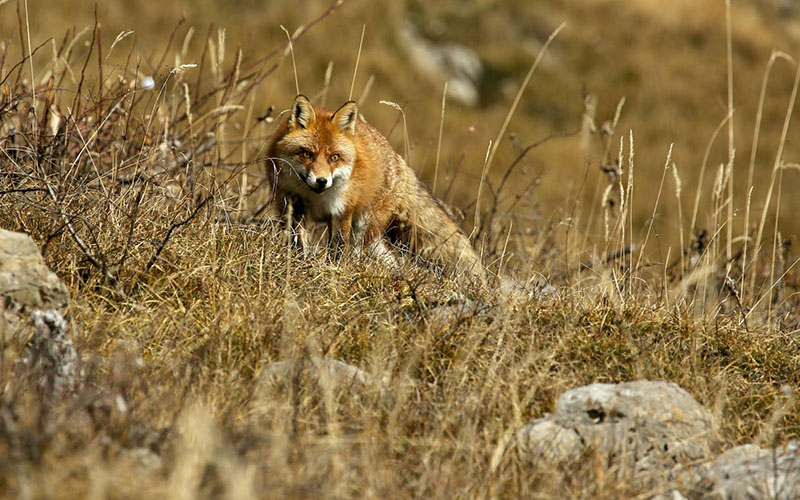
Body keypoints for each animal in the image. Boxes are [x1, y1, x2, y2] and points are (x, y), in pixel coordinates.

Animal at [266, 93, 484, 282]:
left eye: (334, 157)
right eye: (307, 154)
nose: (321, 181)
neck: (316, 197)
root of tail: (399, 160)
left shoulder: (342, 213)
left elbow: (338, 249)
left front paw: (333, 271)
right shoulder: (292, 206)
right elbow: (298, 243)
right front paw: (300, 264)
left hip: (365, 226)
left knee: (358, 252)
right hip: (372, 238)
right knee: (389, 259)